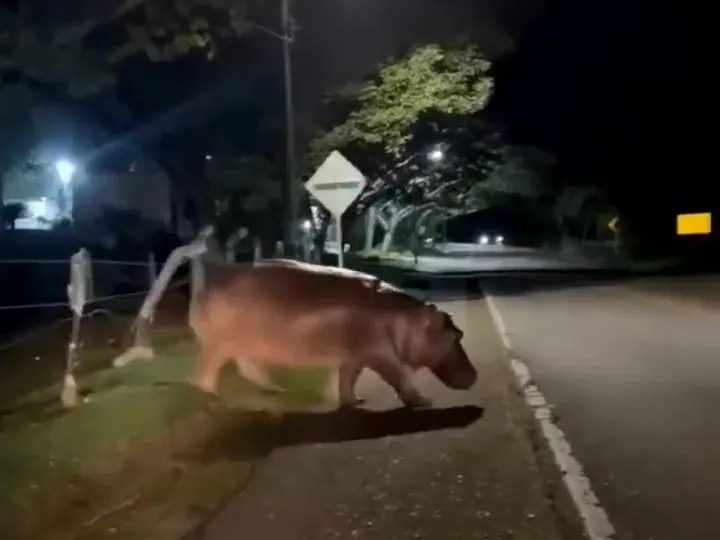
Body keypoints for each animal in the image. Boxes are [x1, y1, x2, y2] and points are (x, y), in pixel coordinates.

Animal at [190, 260, 478, 408]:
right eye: (458, 336)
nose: (475, 376)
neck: (408, 320)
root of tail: (205, 292)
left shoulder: (356, 356)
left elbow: (347, 379)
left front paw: (355, 402)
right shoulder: (381, 355)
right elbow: (399, 376)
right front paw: (424, 401)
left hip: (244, 343)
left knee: (248, 367)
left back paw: (275, 390)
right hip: (221, 344)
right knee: (209, 368)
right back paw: (210, 396)